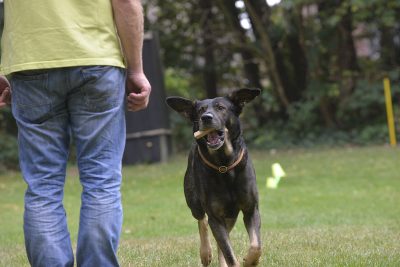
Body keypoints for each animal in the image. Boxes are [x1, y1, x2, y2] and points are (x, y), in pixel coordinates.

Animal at [166, 89, 262, 266]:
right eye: (200, 110)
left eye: (221, 108)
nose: (206, 117)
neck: (224, 164)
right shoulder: (215, 217)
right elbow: (229, 252)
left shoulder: (250, 209)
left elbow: (256, 245)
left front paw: (250, 261)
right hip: (194, 201)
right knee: (202, 221)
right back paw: (205, 253)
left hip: (230, 215)